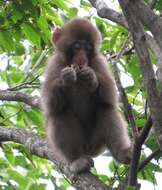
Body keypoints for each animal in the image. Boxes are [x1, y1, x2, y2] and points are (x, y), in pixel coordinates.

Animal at [41, 17, 132, 174]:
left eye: (88, 48)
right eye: (77, 46)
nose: (82, 57)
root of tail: (87, 150)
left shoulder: (99, 61)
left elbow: (111, 96)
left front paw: (92, 78)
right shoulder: (55, 63)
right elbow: (49, 104)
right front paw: (65, 79)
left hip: (96, 144)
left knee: (106, 108)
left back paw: (123, 153)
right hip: (81, 145)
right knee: (59, 113)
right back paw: (77, 161)